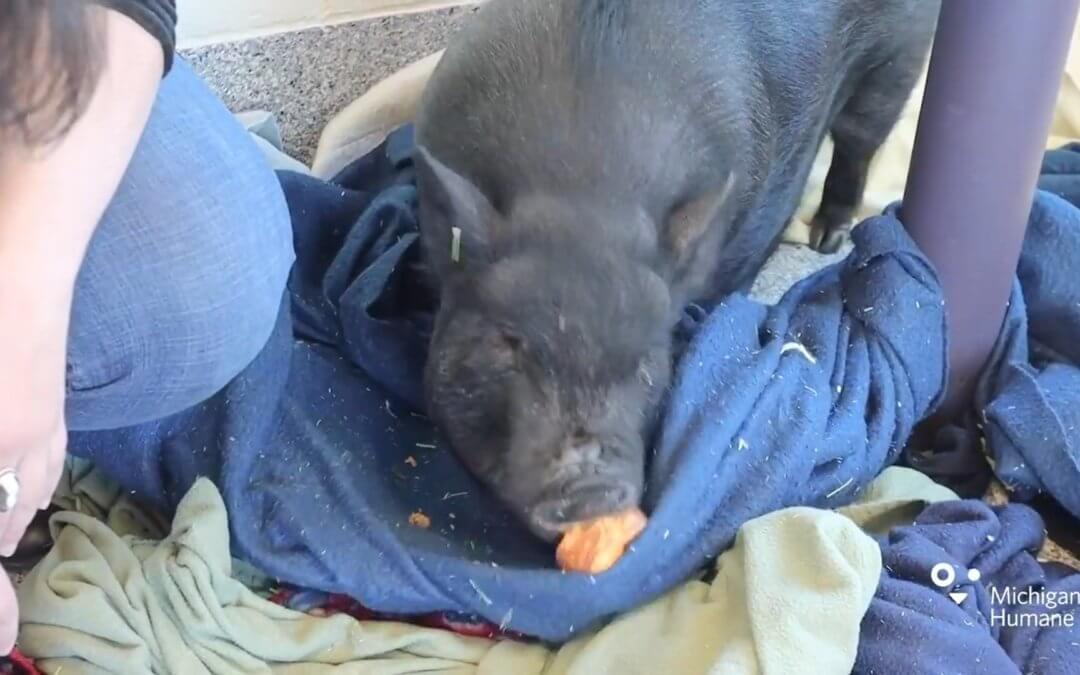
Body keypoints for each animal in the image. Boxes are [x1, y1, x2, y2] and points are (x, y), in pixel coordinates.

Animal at [414, 0, 939, 542]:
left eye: (649, 363)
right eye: (508, 345)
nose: (591, 489)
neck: (583, 187)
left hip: (898, 56)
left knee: (861, 139)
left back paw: (827, 238)